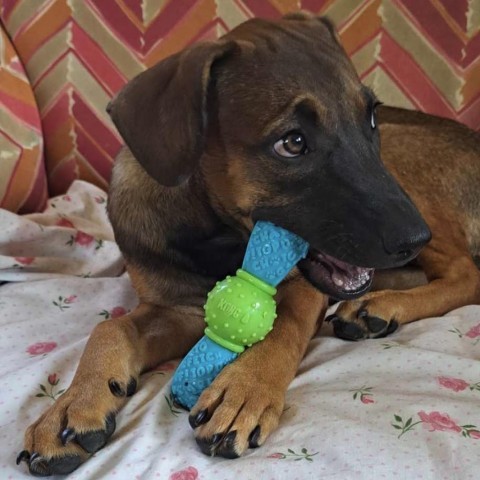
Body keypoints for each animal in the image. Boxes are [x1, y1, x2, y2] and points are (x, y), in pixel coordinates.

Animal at [15, 12, 480, 476]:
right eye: (292, 142)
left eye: (370, 119)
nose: (415, 237)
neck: (216, 235)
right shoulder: (176, 308)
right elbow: (109, 327)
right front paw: (71, 407)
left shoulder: (301, 286)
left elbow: (282, 324)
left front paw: (243, 390)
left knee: (465, 272)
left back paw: (382, 305)